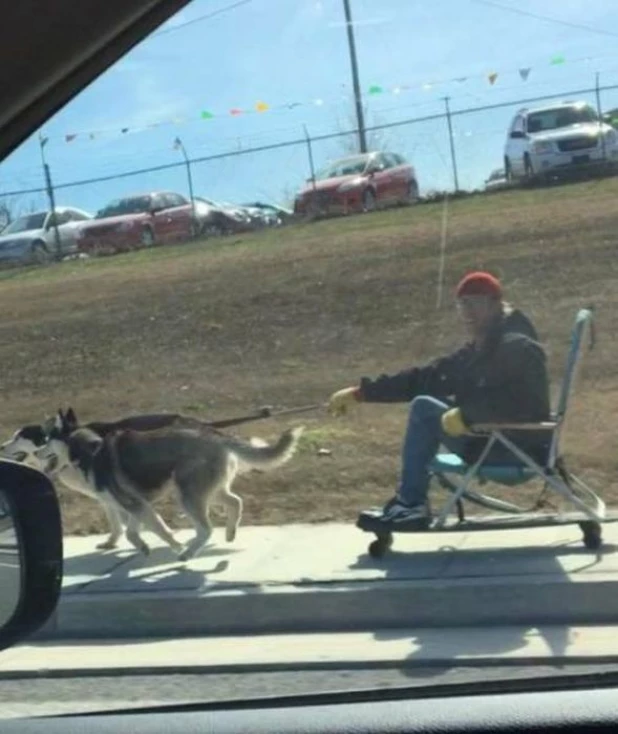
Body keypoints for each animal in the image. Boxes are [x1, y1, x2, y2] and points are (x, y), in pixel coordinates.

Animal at [35, 414, 300, 564]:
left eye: (47, 440)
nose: (36, 452)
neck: (90, 450)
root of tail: (215, 434)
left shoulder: (134, 506)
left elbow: (159, 530)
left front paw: (175, 545)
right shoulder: (135, 505)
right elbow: (132, 533)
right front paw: (143, 547)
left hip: (188, 495)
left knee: (206, 528)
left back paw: (188, 553)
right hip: (209, 491)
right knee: (235, 501)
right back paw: (230, 533)